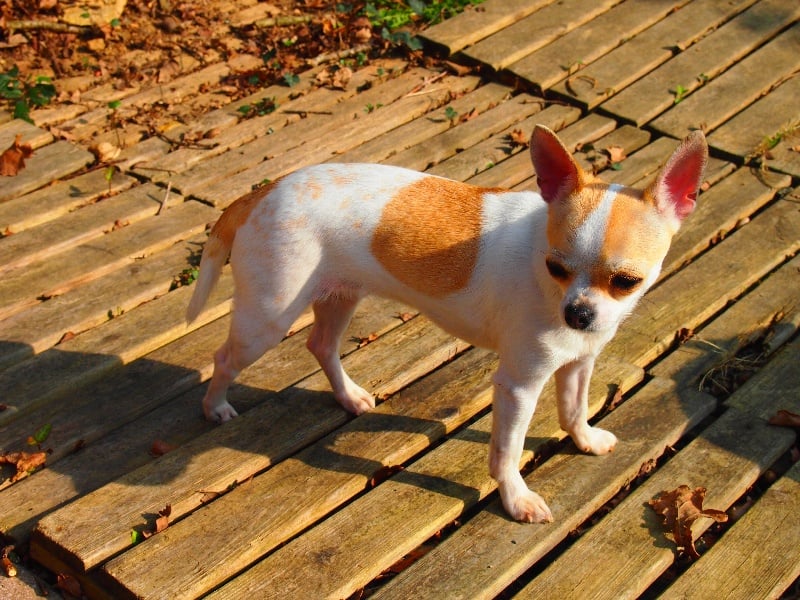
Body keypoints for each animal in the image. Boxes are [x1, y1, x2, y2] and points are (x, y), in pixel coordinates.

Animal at [186, 125, 707, 523]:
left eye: (626, 282)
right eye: (555, 267)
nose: (577, 314)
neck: (544, 283)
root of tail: (259, 193)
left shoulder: (578, 363)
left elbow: (573, 410)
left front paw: (585, 441)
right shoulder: (519, 385)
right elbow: (508, 451)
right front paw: (516, 499)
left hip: (339, 298)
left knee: (321, 345)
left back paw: (349, 395)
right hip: (267, 319)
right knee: (225, 358)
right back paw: (215, 408)